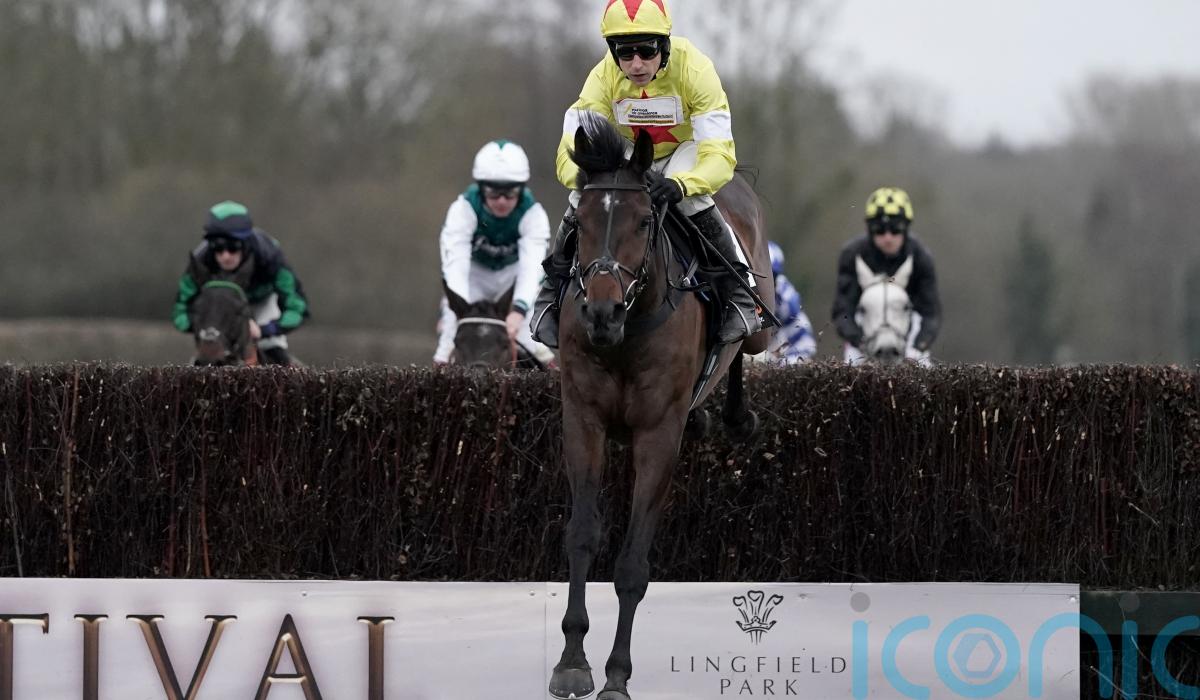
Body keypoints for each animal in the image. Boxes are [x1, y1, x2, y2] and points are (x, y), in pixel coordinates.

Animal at [549, 115, 774, 700]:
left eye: (646, 220)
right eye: (579, 221)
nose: (601, 313)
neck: (626, 333)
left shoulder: (656, 434)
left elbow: (632, 562)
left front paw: (617, 674)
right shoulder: (583, 419)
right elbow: (582, 535)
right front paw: (572, 660)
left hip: (760, 319)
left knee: (744, 347)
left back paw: (735, 414)